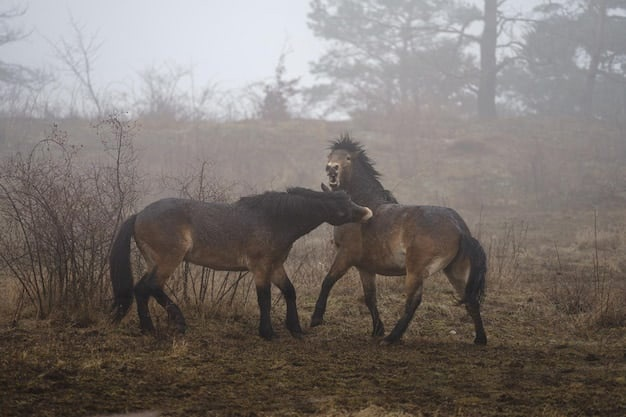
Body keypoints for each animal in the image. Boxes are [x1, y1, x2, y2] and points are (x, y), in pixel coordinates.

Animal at [109, 187, 370, 340]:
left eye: (348, 197)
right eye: (340, 204)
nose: (367, 212)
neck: (274, 220)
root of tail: (139, 214)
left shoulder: (276, 266)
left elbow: (289, 292)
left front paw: (295, 328)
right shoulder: (260, 268)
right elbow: (264, 298)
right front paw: (267, 332)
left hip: (154, 262)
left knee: (141, 289)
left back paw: (148, 328)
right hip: (169, 260)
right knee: (152, 287)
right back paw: (179, 323)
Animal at [308, 134, 488, 344]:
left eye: (348, 158)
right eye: (330, 156)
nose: (331, 168)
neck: (363, 209)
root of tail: (459, 226)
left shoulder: (345, 255)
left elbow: (328, 281)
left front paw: (316, 319)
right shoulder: (365, 267)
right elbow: (370, 297)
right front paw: (377, 329)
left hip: (416, 271)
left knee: (413, 302)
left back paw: (392, 338)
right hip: (455, 270)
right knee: (471, 299)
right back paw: (480, 339)